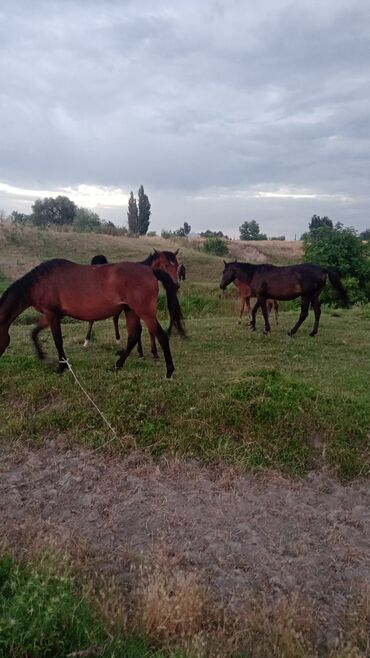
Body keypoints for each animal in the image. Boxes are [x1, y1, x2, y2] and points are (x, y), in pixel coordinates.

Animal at [0, 258, 185, 376]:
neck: (40, 282)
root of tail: (150, 270)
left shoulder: (52, 314)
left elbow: (57, 340)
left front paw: (61, 367)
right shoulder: (52, 314)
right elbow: (34, 333)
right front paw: (43, 357)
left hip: (144, 312)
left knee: (161, 335)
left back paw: (169, 371)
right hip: (130, 311)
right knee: (133, 336)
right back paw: (117, 366)